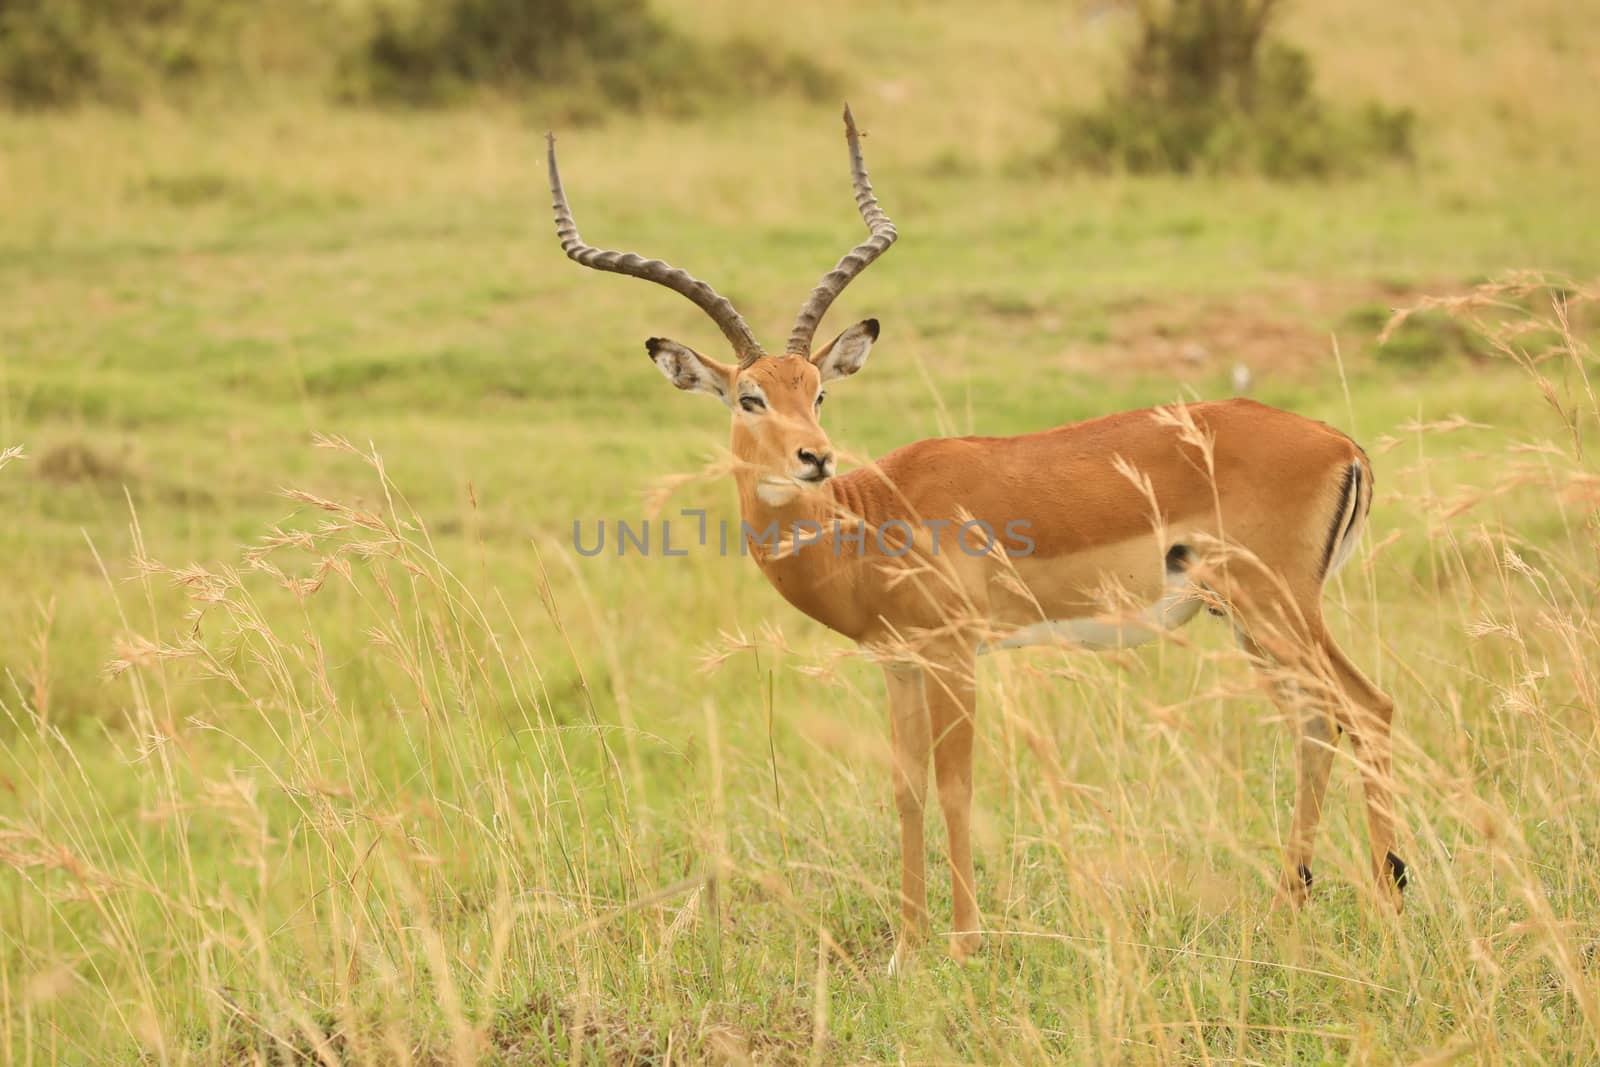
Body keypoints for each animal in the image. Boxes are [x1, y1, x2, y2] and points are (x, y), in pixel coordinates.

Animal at [544, 106, 1408, 966]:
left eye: (817, 390)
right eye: (749, 396)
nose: (815, 457)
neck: (867, 519)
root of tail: (1343, 445)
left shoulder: (955, 653)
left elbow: (956, 784)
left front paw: (963, 943)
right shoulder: (898, 663)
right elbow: (906, 786)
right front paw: (908, 942)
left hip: (1278, 607)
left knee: (1366, 707)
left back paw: (1390, 903)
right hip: (1249, 620)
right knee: (1314, 724)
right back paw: (1289, 906)